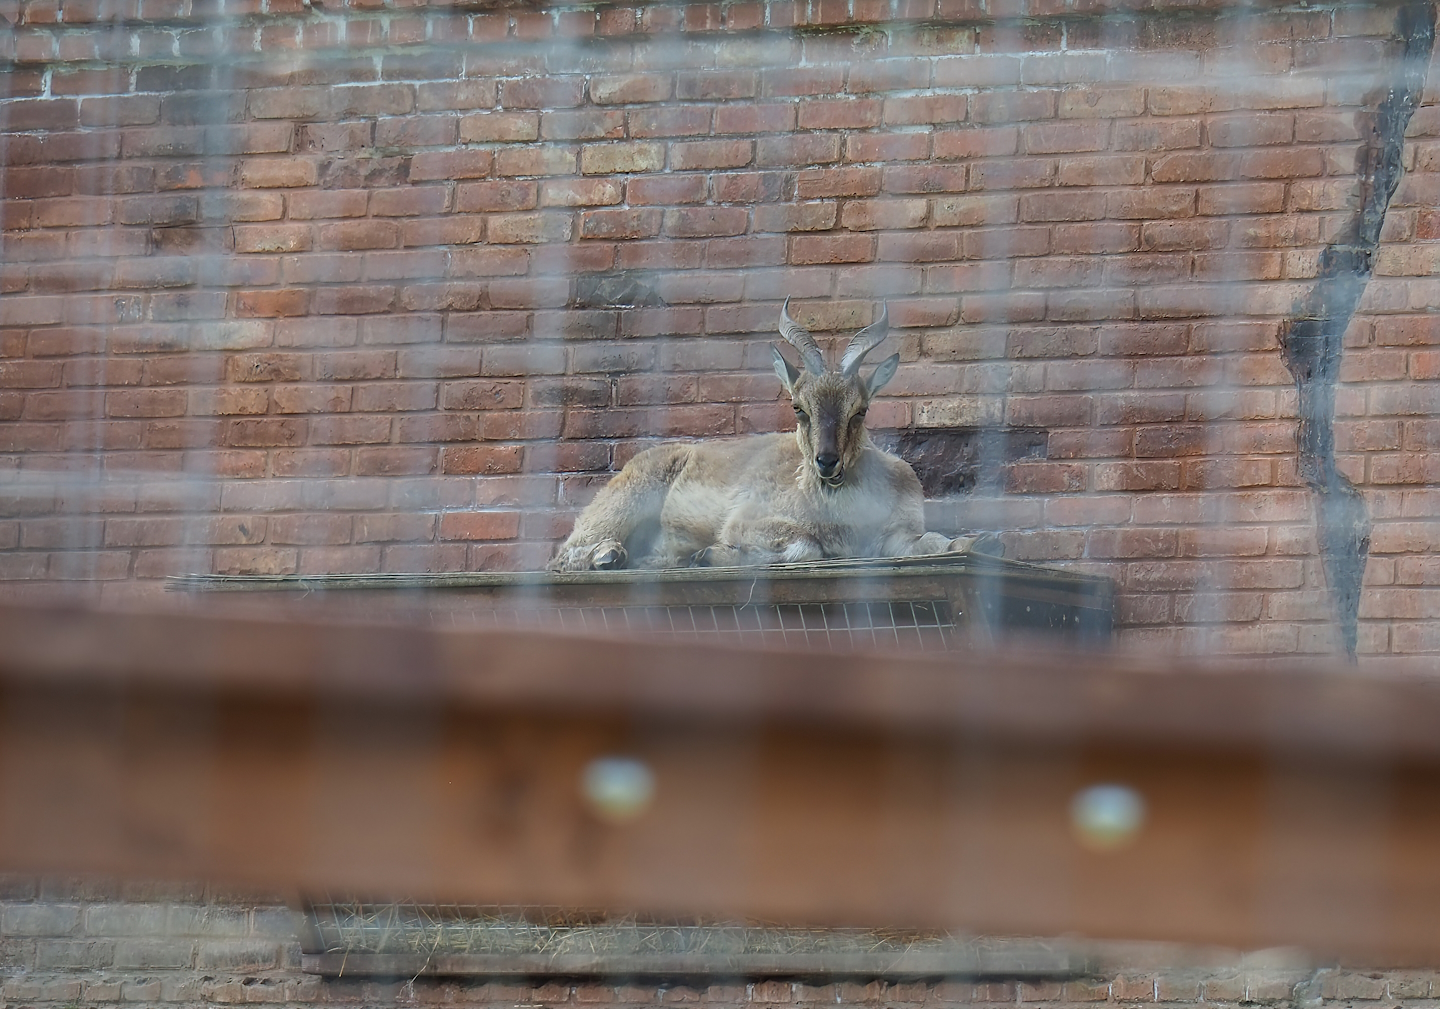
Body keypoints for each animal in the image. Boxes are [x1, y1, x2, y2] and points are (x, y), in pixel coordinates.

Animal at [549, 301, 975, 571]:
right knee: (562, 555)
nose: (827, 462)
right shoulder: (750, 521)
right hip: (625, 503)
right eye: (798, 408)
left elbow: (932, 541)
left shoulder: (897, 536)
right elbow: (805, 546)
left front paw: (975, 541)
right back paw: (607, 556)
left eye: (860, 410)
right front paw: (710, 555)